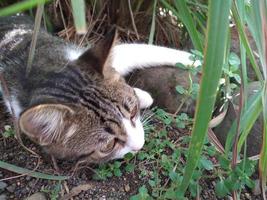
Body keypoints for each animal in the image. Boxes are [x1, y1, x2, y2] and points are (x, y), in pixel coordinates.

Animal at [0, 14, 199, 164]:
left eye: (132, 112)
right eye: (108, 145)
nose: (140, 145)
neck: (38, 72)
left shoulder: (75, 55)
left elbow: (141, 51)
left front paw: (197, 59)